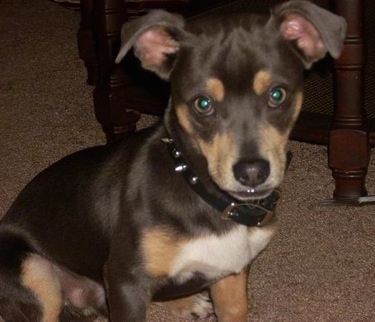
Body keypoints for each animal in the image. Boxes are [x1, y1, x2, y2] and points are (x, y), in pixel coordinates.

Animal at [0, 1, 346, 320]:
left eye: (277, 94)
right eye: (202, 103)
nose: (252, 172)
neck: (200, 189)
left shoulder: (231, 275)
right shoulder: (126, 279)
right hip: (37, 276)